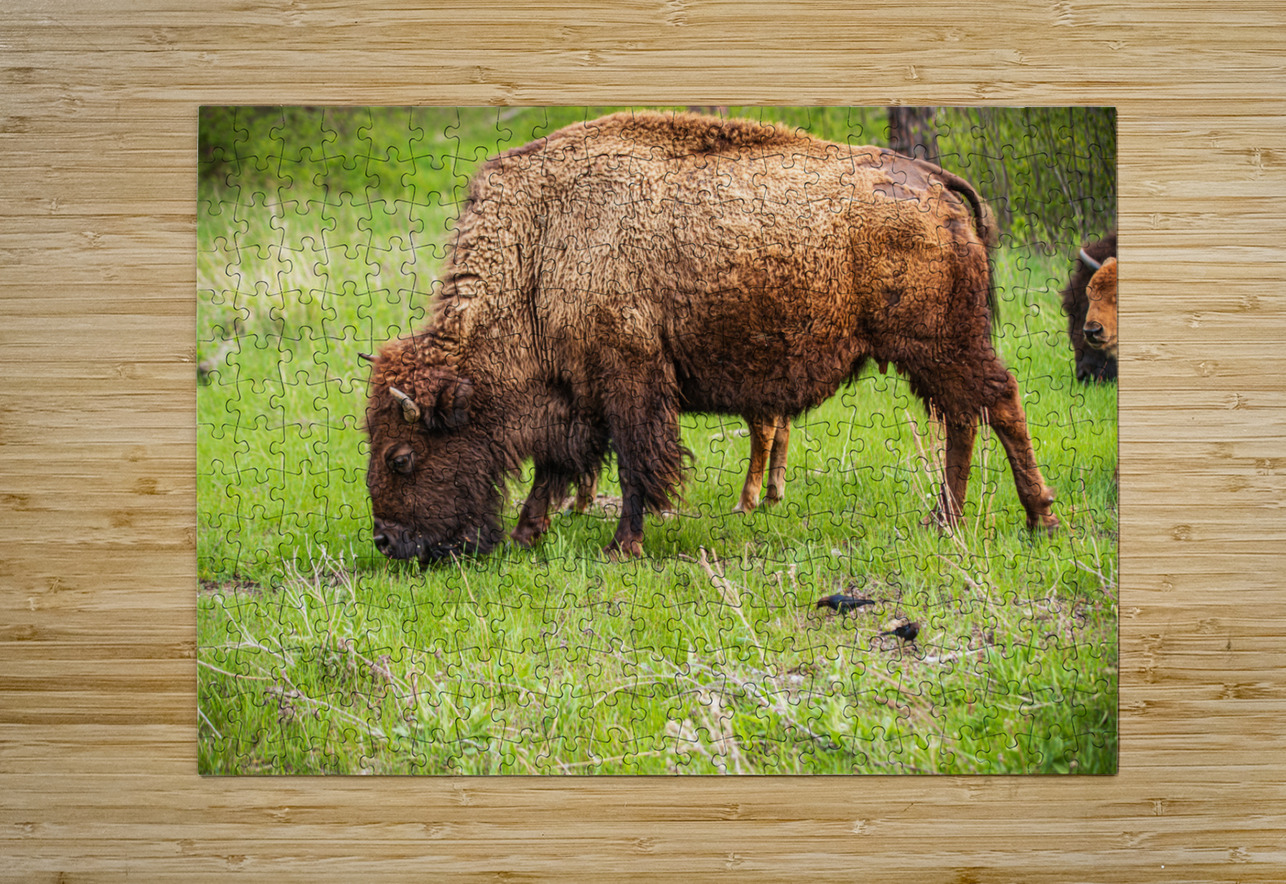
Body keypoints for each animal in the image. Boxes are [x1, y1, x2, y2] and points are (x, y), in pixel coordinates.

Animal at [365, 111, 1058, 562]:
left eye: (401, 456)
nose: (387, 542)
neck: (541, 245)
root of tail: (933, 180)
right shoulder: (581, 392)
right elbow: (559, 465)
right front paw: (527, 532)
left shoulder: (630, 380)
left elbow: (637, 464)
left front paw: (622, 546)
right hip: (935, 354)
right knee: (966, 415)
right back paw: (945, 522)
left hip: (939, 345)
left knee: (999, 400)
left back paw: (1037, 520)